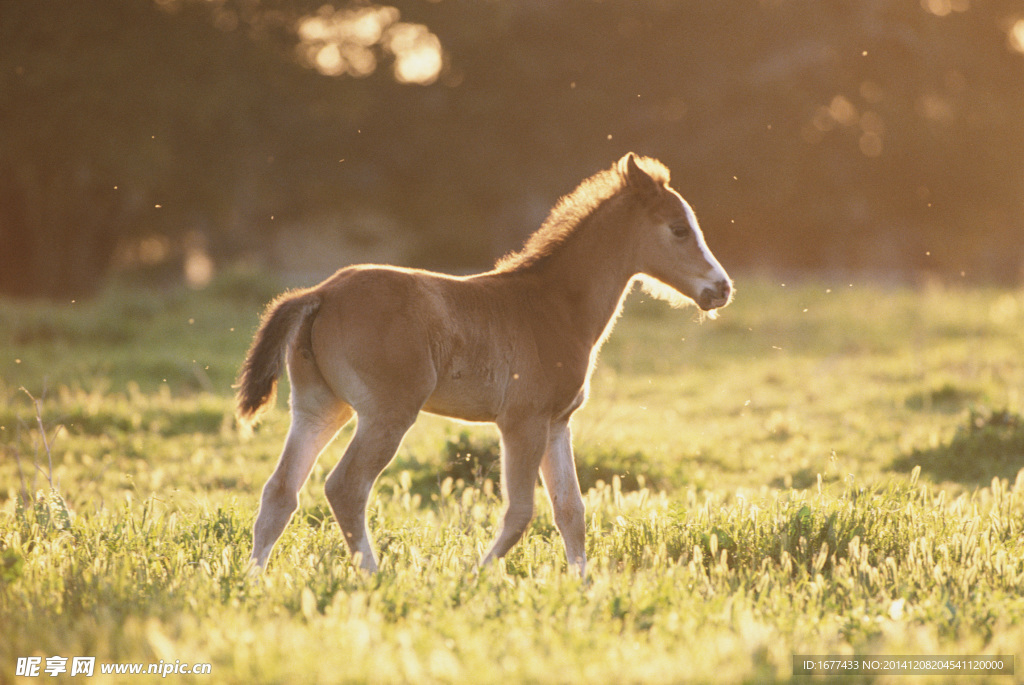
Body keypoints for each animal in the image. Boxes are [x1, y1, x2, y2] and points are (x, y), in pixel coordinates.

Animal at [235, 153, 733, 573]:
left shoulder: (557, 423)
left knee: (280, 491)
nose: (721, 288)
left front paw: (583, 586)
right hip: (387, 413)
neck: (553, 306)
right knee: (346, 487)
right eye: (679, 229)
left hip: (319, 408)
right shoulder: (522, 422)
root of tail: (320, 293)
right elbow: (521, 512)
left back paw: (254, 579)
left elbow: (571, 510)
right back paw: (373, 575)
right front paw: (475, 576)